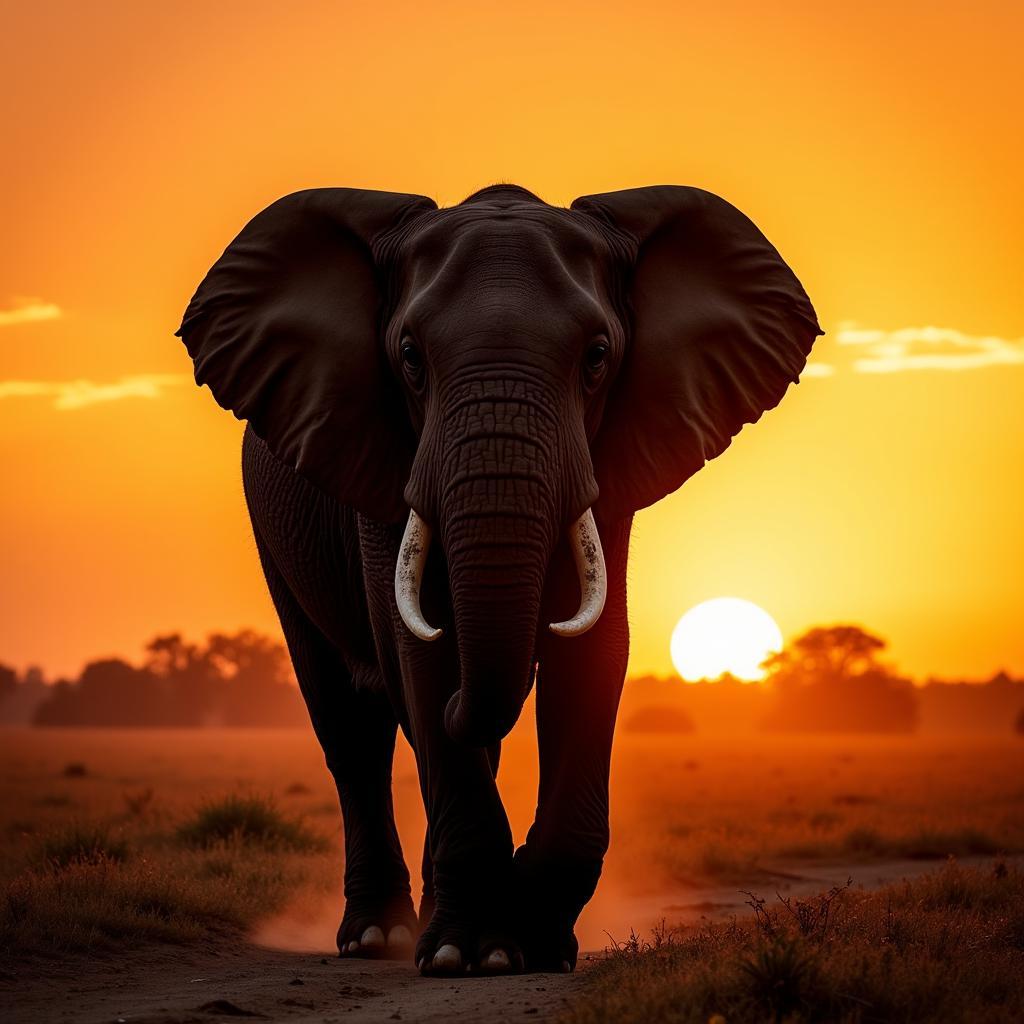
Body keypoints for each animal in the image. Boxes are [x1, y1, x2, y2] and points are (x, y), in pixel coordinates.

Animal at [174, 182, 815, 974]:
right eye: (409, 358)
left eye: (598, 357)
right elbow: (416, 651)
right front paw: (464, 954)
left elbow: (596, 651)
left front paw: (533, 945)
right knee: (350, 726)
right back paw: (378, 937)